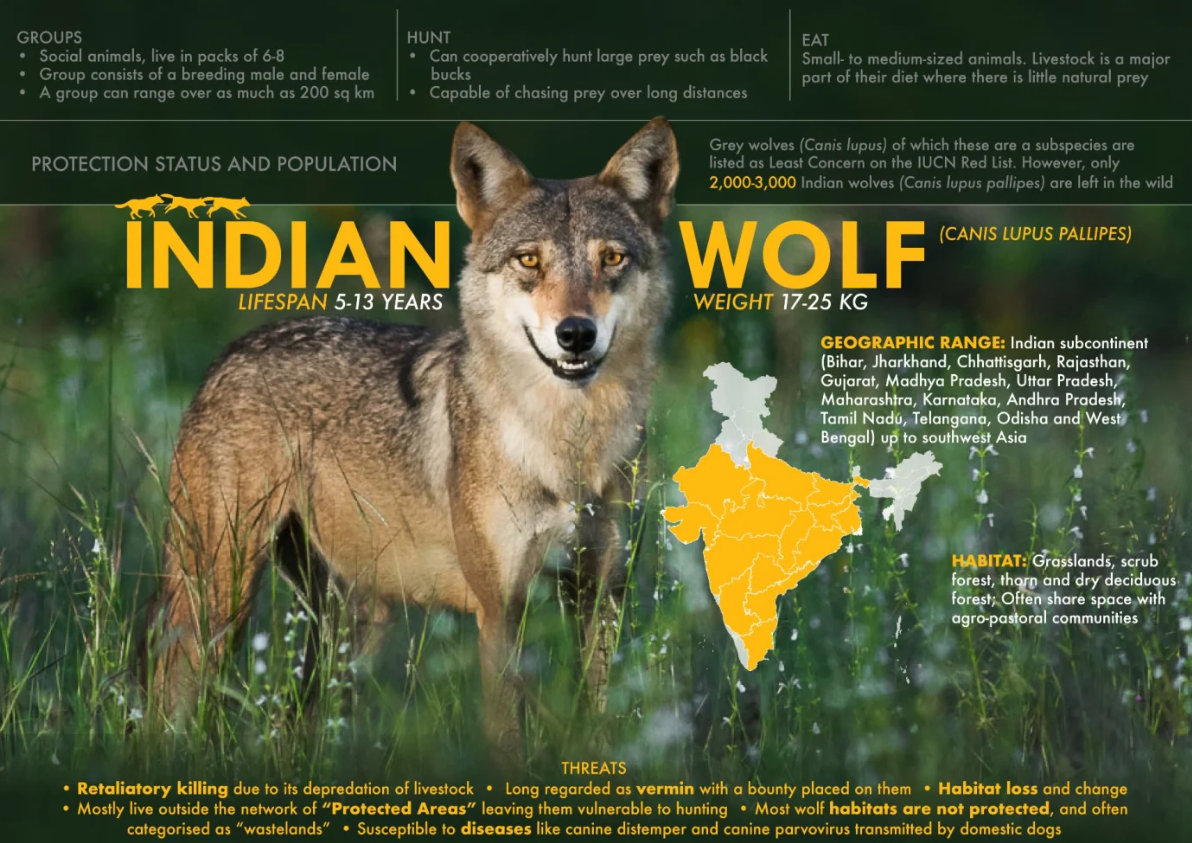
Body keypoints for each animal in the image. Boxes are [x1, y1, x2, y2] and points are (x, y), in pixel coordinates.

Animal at [148, 119, 679, 759]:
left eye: (612, 258)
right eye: (529, 260)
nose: (576, 334)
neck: (568, 446)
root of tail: (227, 354)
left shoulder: (600, 597)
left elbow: (598, 722)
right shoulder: (499, 612)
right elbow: (508, 741)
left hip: (352, 624)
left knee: (301, 721)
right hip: (217, 599)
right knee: (165, 700)